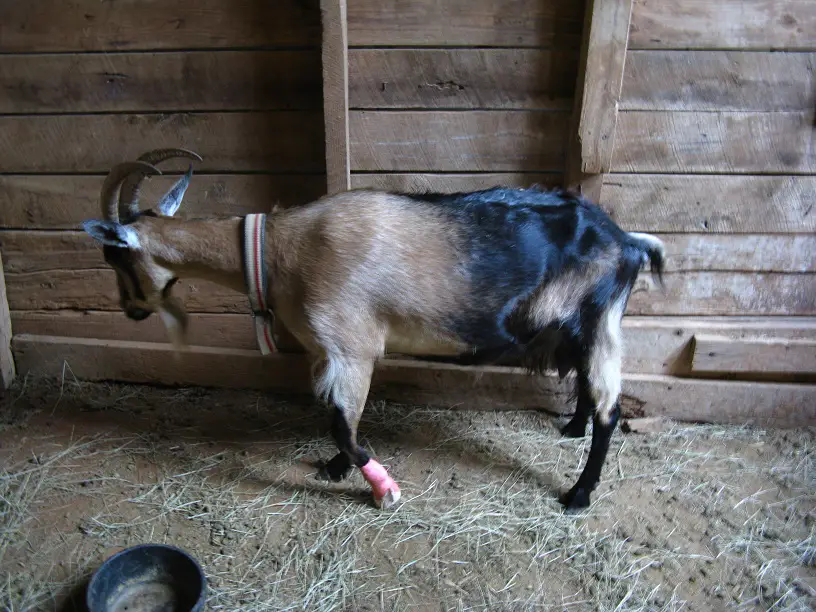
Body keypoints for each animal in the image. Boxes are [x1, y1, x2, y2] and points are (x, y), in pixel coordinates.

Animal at [81, 149, 665, 511]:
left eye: (114, 255)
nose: (130, 310)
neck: (280, 250)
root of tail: (628, 241)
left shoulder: (352, 346)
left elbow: (343, 423)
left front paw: (380, 486)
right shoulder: (328, 352)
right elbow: (340, 417)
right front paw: (339, 468)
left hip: (600, 320)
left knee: (611, 408)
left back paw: (578, 494)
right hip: (580, 325)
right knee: (589, 389)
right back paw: (572, 429)